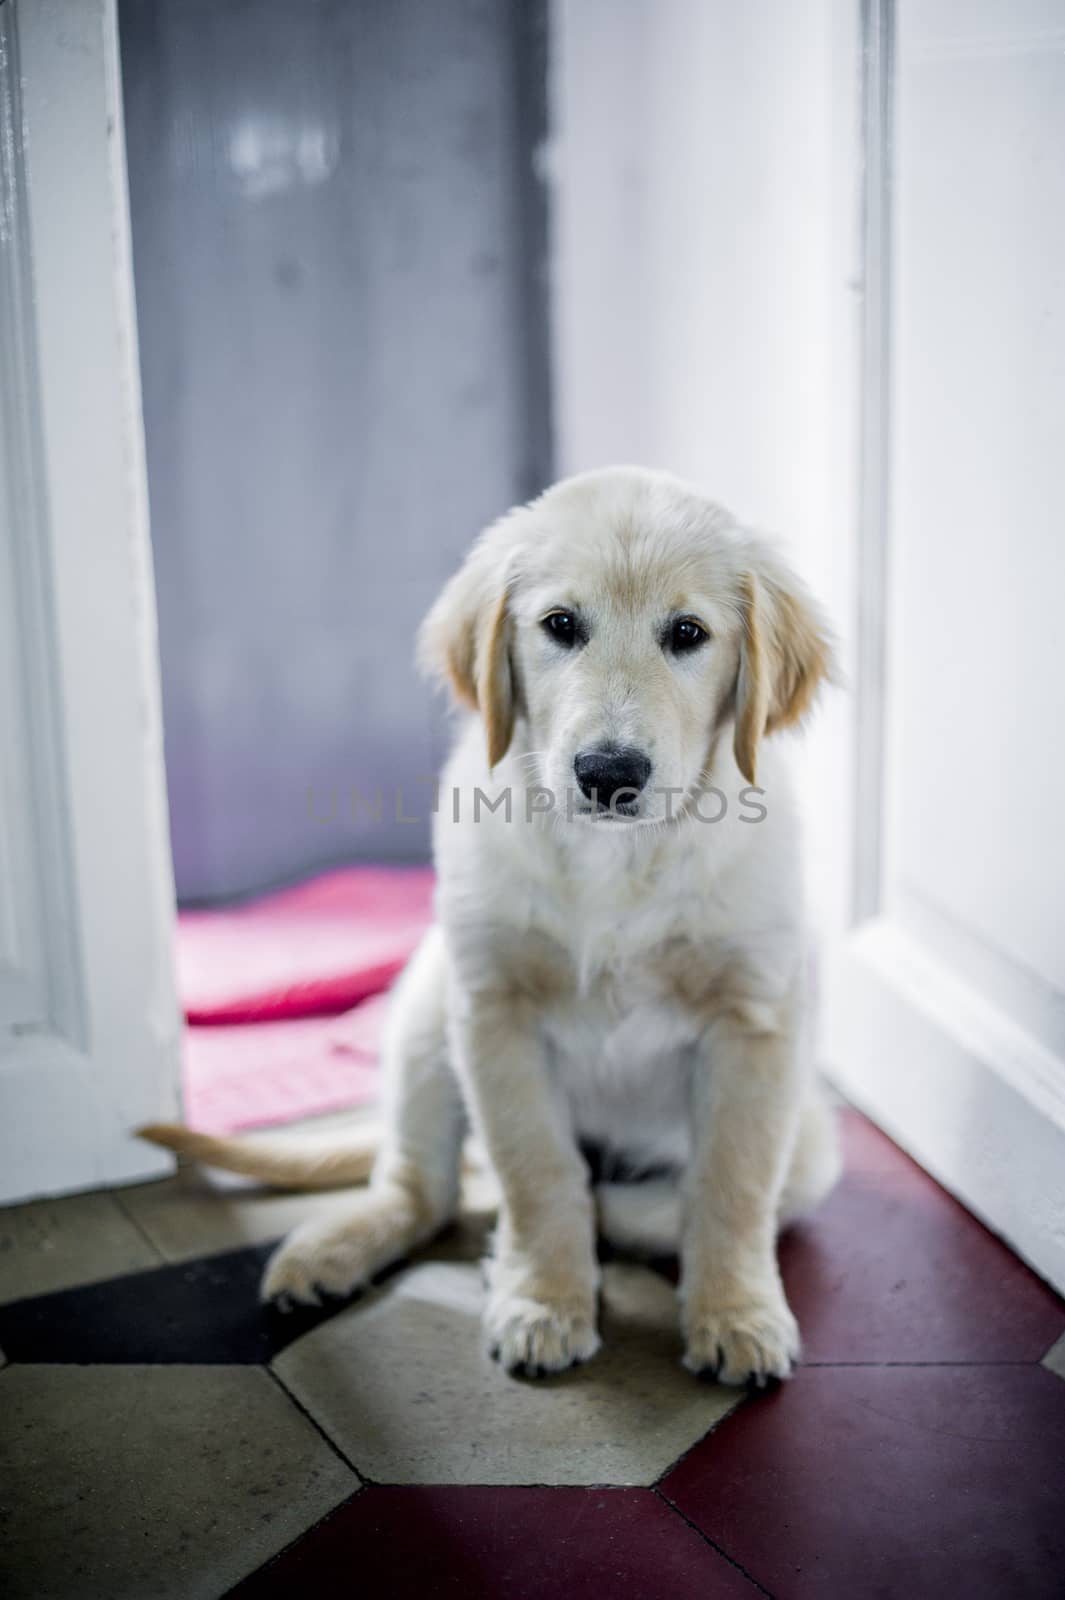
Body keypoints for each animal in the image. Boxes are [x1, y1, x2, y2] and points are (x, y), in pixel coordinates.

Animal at [143, 467, 837, 1388]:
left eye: (688, 633)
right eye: (560, 626)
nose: (607, 773)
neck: (614, 860)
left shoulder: (755, 1024)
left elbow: (728, 1186)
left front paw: (734, 1313)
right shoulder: (493, 1012)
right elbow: (536, 1171)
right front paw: (543, 1298)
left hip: (814, 1145)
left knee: (644, 1203)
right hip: (424, 1012)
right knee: (423, 1188)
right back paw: (334, 1252)